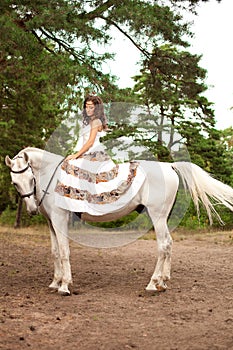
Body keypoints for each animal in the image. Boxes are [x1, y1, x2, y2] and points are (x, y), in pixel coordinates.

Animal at [5, 148, 233, 296]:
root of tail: (168, 166)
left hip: (157, 216)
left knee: (163, 245)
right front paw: (55, 282)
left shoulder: (60, 220)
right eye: (15, 183)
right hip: (163, 217)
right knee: (169, 244)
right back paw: (163, 282)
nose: (32, 209)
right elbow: (54, 252)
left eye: (31, 179)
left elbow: (64, 252)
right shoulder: (51, 223)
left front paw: (64, 286)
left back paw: (153, 284)